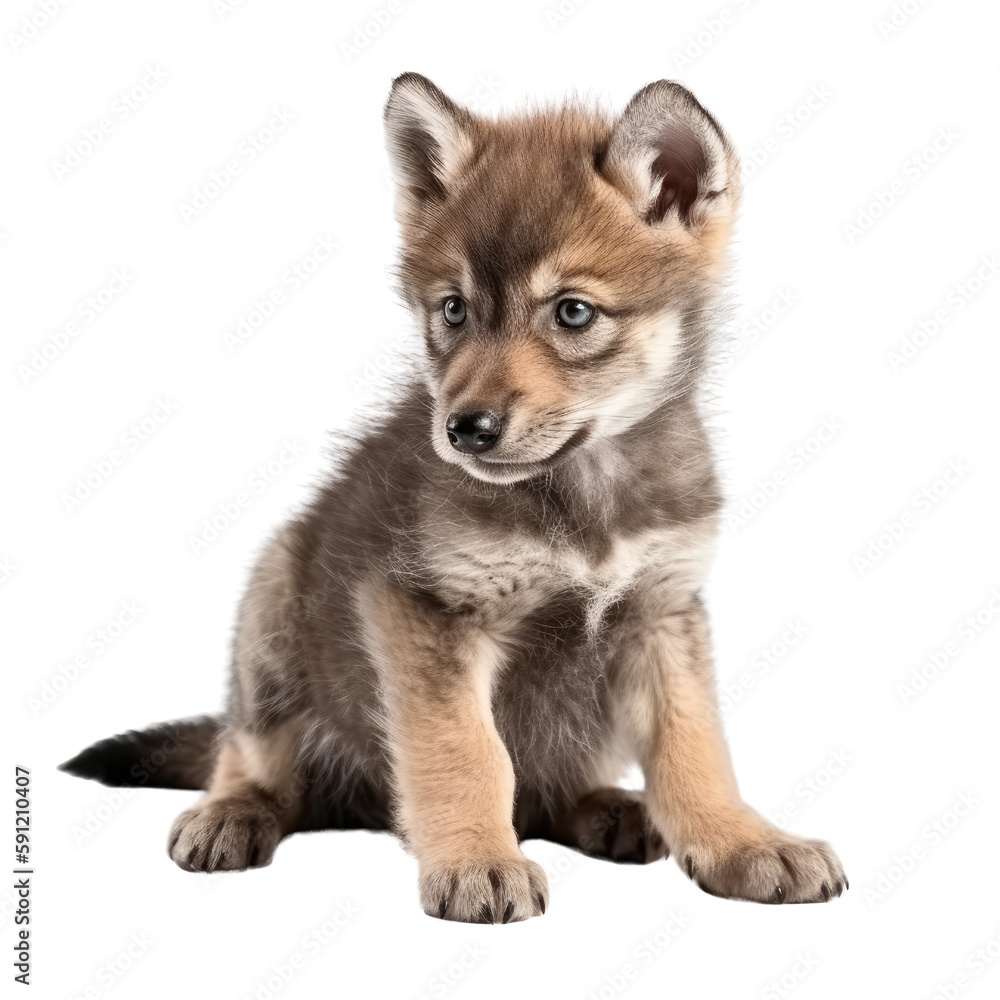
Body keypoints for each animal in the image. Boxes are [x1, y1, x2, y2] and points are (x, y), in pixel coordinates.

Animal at [62, 73, 845, 922]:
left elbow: (695, 749)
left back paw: (608, 808)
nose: (465, 429)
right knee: (247, 753)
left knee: (551, 789)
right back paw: (233, 813)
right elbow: (467, 754)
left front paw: (742, 843)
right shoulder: (428, 611)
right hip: (273, 599)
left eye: (572, 311)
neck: (585, 500)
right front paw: (476, 859)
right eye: (454, 309)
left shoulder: (661, 613)